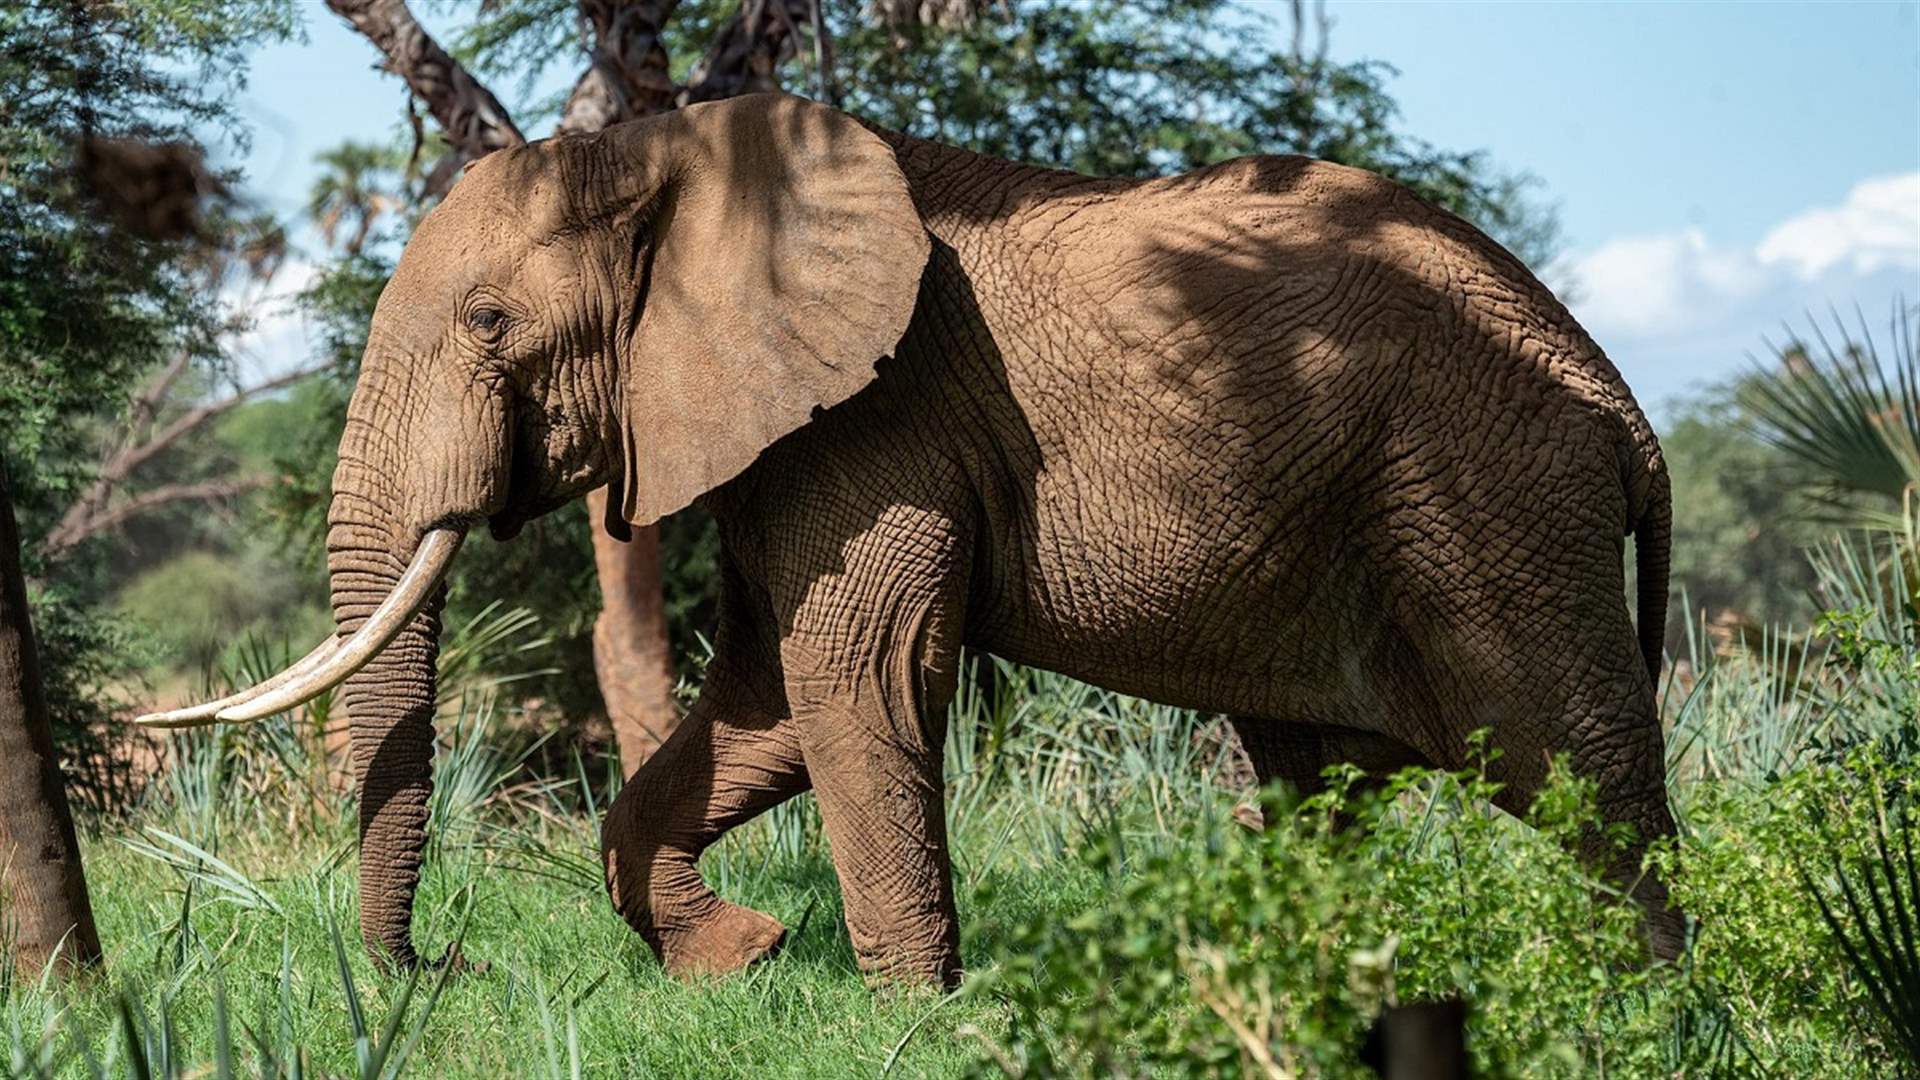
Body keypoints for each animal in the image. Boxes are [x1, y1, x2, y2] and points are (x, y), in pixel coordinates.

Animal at [142, 94, 1681, 983]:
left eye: (486, 323)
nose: (440, 970)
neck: (669, 153)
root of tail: (1622, 400)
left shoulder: (879, 417)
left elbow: (855, 677)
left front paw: (912, 1022)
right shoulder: (788, 428)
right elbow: (764, 702)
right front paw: (742, 962)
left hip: (1491, 500)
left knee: (1584, 774)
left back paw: (1657, 1008)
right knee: (1324, 783)